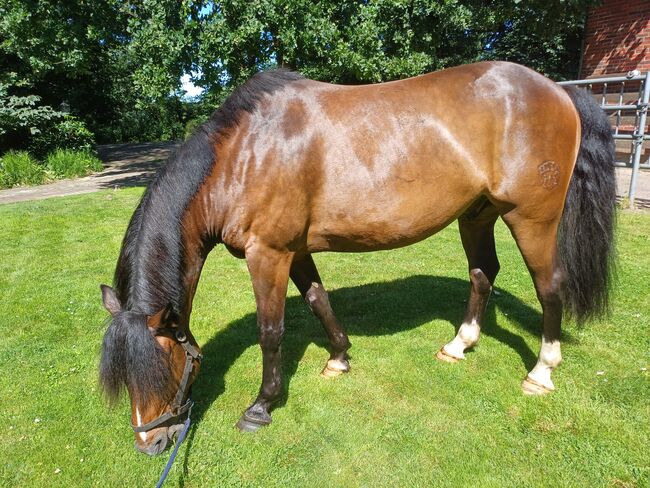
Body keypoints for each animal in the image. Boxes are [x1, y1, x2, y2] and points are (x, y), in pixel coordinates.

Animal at [97, 60, 612, 454]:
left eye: (163, 367)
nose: (150, 443)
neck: (243, 154)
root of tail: (560, 92)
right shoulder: (296, 251)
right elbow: (318, 300)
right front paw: (339, 358)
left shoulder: (269, 254)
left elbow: (270, 332)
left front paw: (261, 406)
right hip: (476, 216)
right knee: (483, 274)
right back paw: (458, 345)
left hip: (532, 219)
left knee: (549, 286)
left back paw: (541, 372)